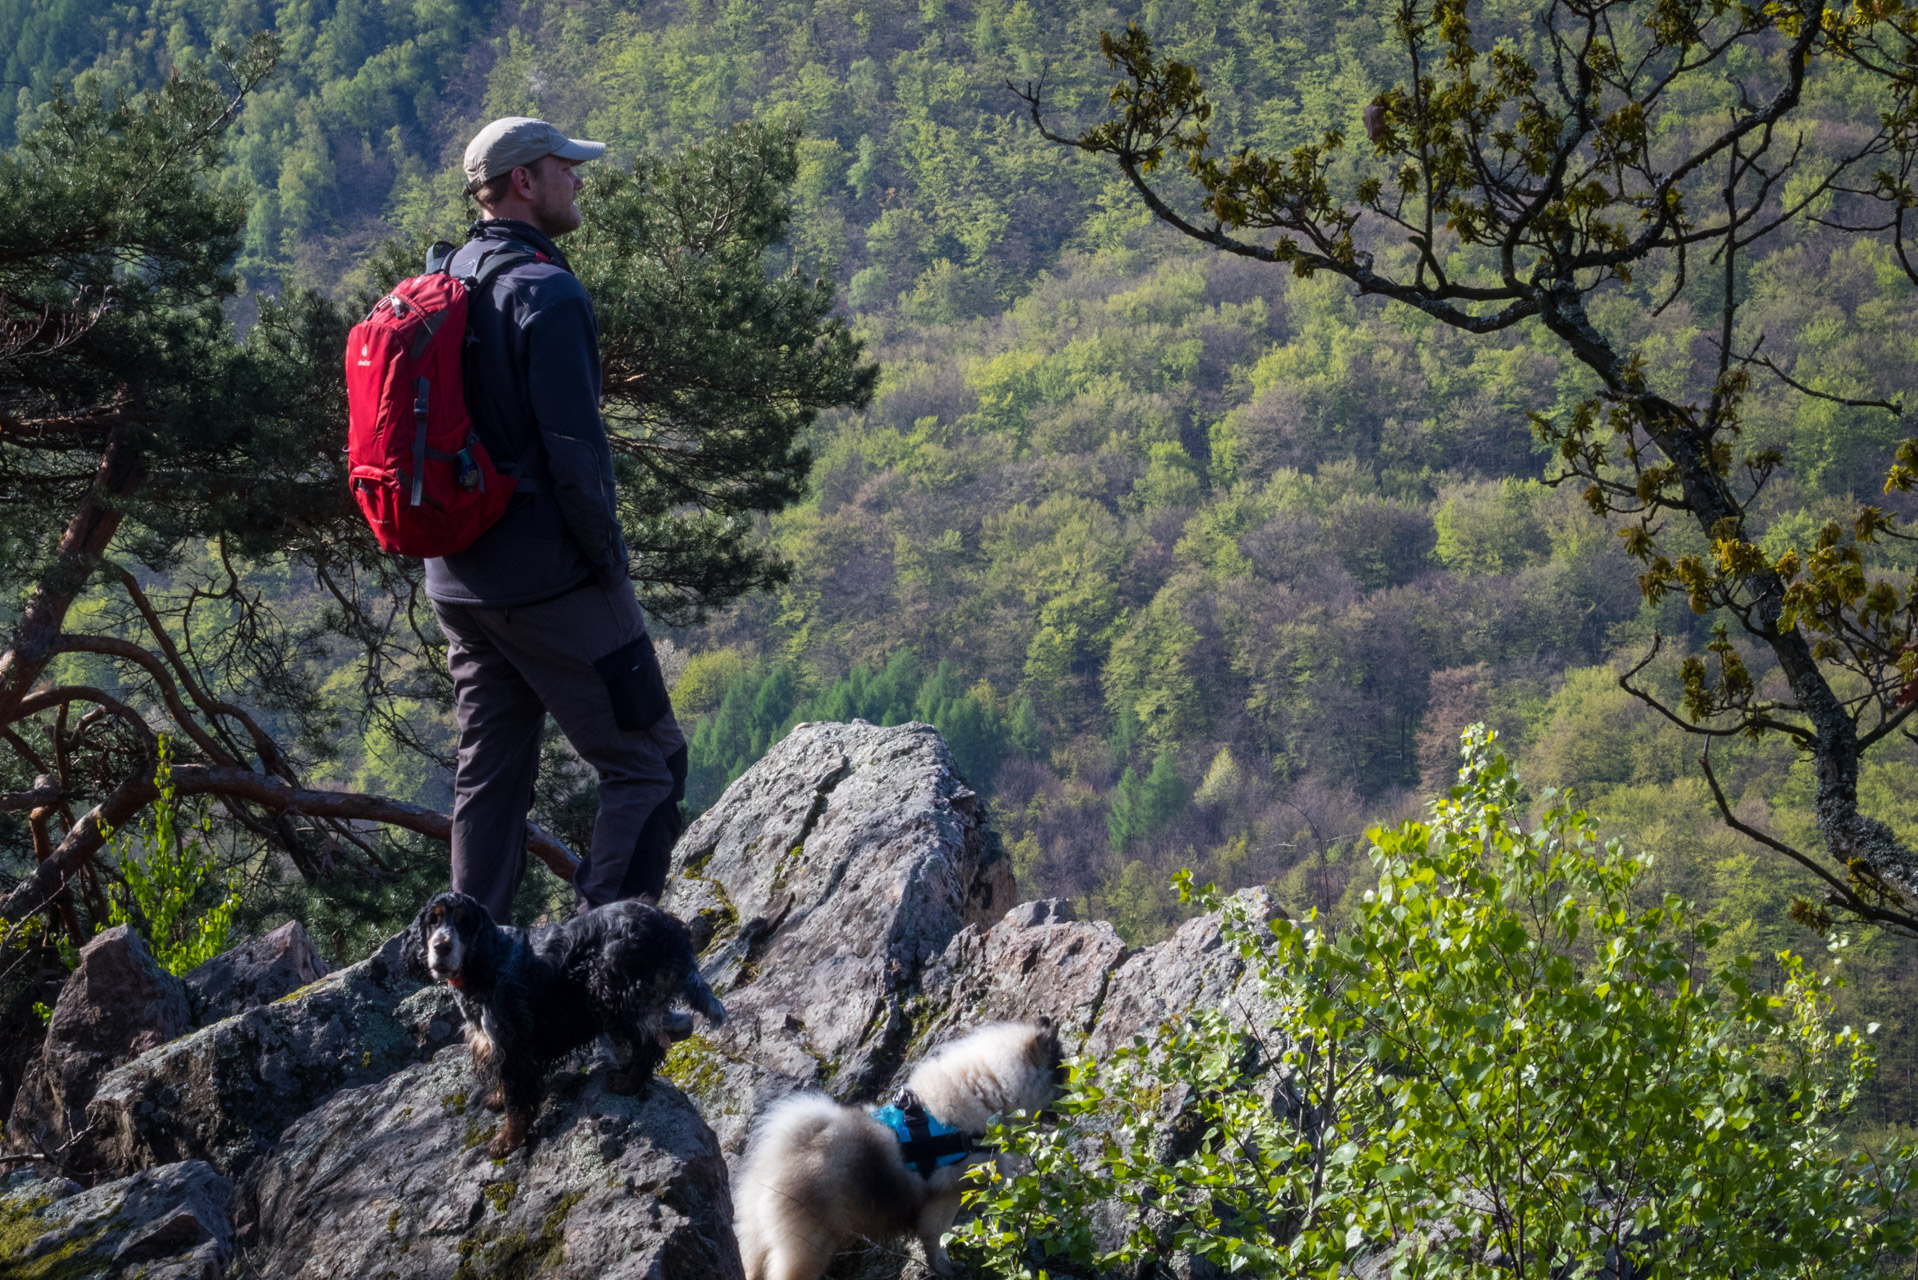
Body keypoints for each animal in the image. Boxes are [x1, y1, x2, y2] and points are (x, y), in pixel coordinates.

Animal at [398, 898, 725, 1159]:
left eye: (464, 923)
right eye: (433, 920)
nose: (441, 947)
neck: (485, 964)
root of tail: (668, 924)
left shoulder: (513, 1042)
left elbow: (517, 1100)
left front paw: (508, 1140)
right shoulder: (496, 1043)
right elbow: (506, 1086)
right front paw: (497, 1098)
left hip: (611, 993)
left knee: (650, 1042)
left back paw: (628, 1083)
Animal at [732, 1020, 1066, 1280]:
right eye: (1061, 1074)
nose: (1068, 1102)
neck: (985, 1092)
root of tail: (778, 1159)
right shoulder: (944, 1199)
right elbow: (935, 1240)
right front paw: (946, 1268)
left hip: (757, 1239)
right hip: (808, 1244)